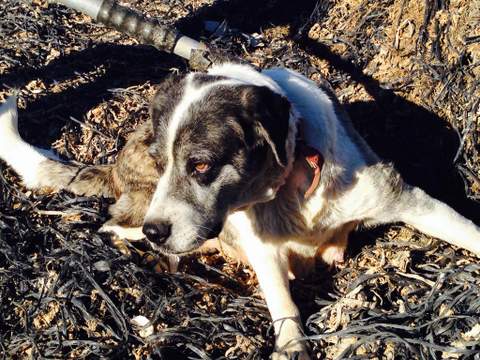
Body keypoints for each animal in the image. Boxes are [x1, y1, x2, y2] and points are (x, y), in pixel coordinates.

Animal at [0, 63, 480, 358]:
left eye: (200, 166)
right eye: (162, 163)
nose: (158, 232)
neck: (293, 184)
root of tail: (116, 167)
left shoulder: (405, 198)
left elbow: (464, 229)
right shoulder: (262, 250)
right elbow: (282, 303)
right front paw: (292, 346)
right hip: (144, 213)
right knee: (114, 224)